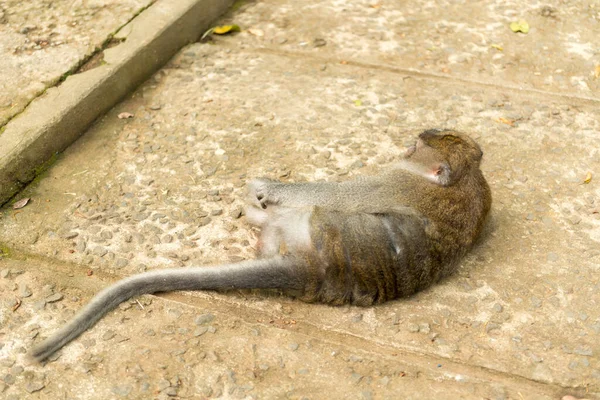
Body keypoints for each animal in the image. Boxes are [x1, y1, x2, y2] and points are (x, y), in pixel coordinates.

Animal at [29, 130, 492, 360]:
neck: (464, 180)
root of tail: (310, 270)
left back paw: (256, 209)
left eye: (415, 147)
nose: (404, 144)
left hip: (307, 224)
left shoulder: (392, 182)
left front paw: (263, 188)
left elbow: (340, 192)